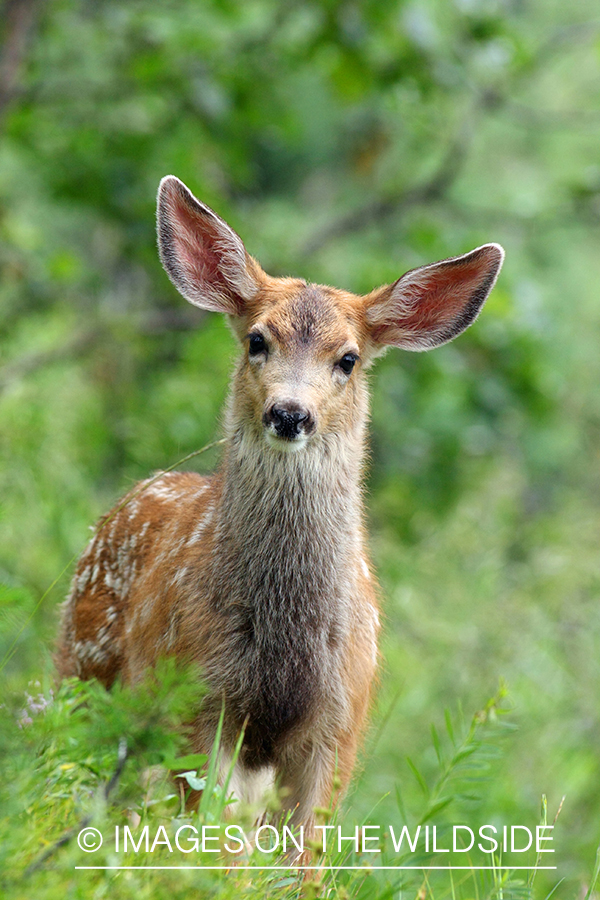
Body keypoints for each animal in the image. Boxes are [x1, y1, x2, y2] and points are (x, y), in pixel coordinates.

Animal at [56, 175, 504, 840]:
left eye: (348, 359)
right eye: (256, 340)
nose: (289, 413)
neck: (282, 643)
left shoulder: (340, 723)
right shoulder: (198, 700)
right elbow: (214, 842)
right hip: (83, 668)